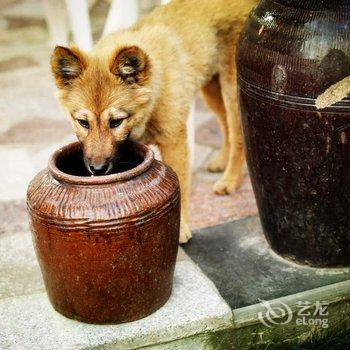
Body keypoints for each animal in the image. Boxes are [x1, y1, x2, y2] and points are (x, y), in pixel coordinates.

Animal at [50, 0, 258, 243]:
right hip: (211, 89)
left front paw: (180, 228)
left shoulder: (174, 142)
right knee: (225, 126)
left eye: (116, 121)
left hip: (231, 92)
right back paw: (222, 161)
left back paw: (230, 180)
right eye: (83, 123)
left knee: (238, 137)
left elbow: (180, 185)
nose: (97, 170)